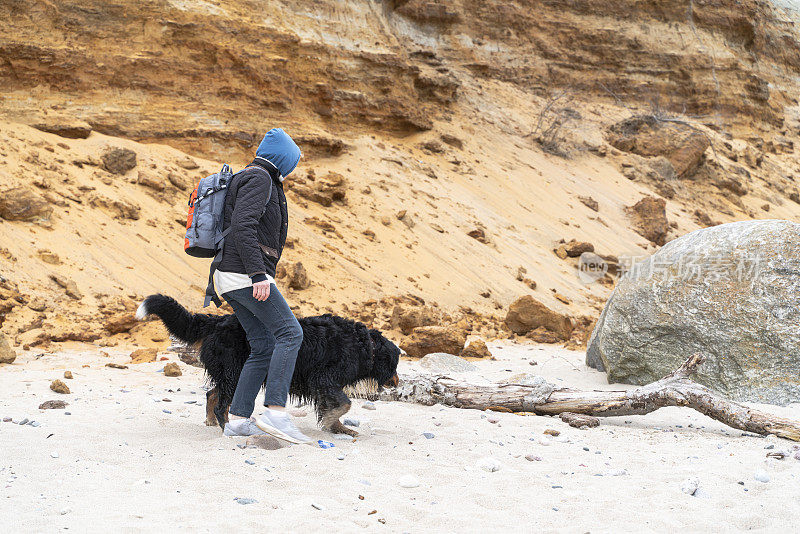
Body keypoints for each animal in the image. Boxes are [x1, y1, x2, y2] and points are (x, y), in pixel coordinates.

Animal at [138, 296, 404, 438]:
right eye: (396, 364)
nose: (397, 381)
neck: (363, 345)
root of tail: (218, 321)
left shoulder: (324, 385)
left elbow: (332, 406)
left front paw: (337, 427)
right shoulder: (324, 379)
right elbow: (343, 404)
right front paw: (335, 422)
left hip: (232, 373)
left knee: (212, 394)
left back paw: (212, 421)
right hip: (236, 372)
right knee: (222, 402)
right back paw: (226, 426)